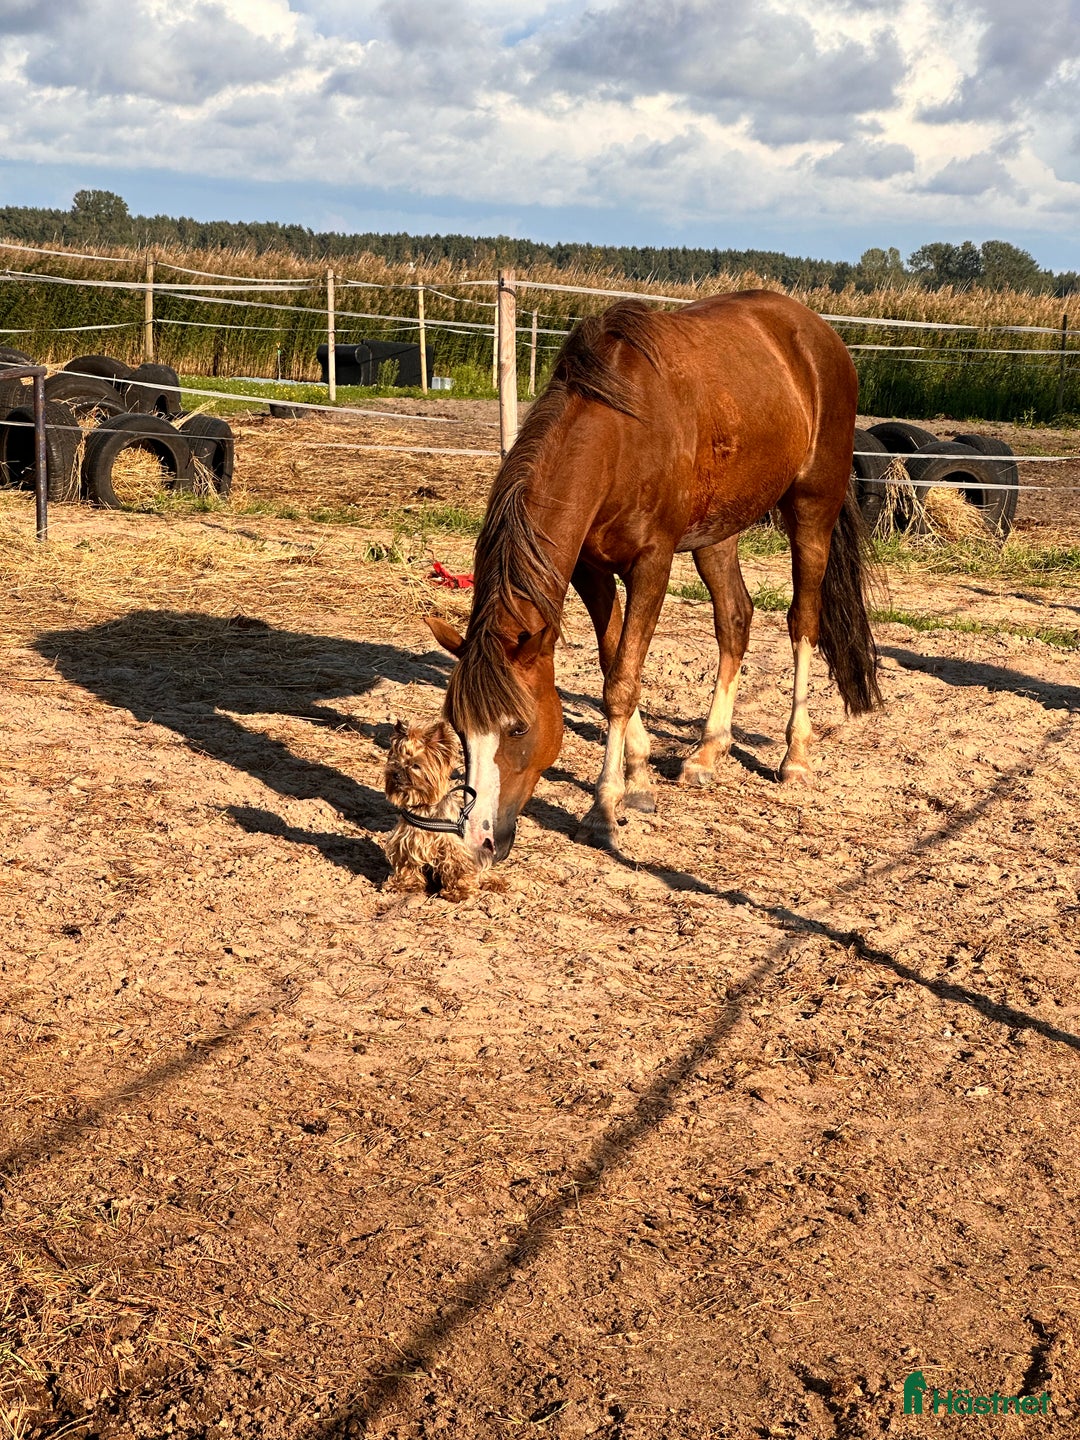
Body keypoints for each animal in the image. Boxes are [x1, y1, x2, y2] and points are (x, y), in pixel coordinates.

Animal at [425, 288, 881, 865]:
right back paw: (707, 751)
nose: (478, 841)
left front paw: (603, 808)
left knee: (803, 621)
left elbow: (622, 681)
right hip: (718, 531)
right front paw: (640, 781)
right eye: (459, 729)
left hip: (811, 509)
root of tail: (819, 333)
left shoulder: (651, 565)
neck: (619, 435)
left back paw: (795, 755)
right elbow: (612, 661)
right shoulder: (590, 570)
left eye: (518, 727)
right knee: (735, 619)